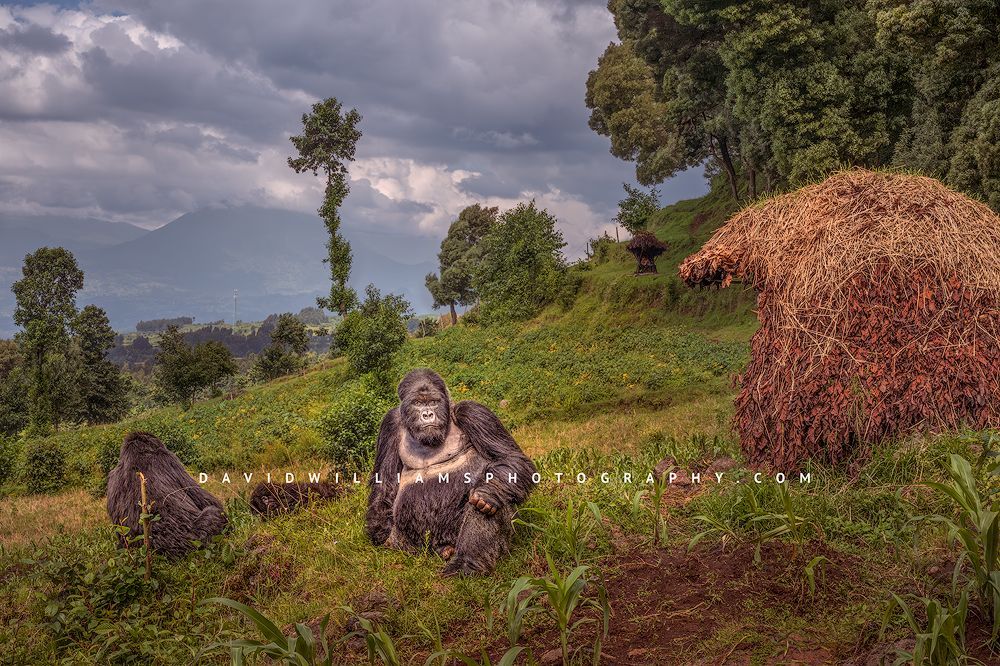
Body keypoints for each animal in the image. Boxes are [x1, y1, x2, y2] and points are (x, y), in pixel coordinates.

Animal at [365, 368, 536, 576]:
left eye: (433, 402)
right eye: (418, 403)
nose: (428, 414)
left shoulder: (473, 412)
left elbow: (510, 458)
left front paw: (489, 492)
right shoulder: (390, 424)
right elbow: (385, 481)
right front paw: (379, 531)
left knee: (492, 497)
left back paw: (467, 563)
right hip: (412, 547)